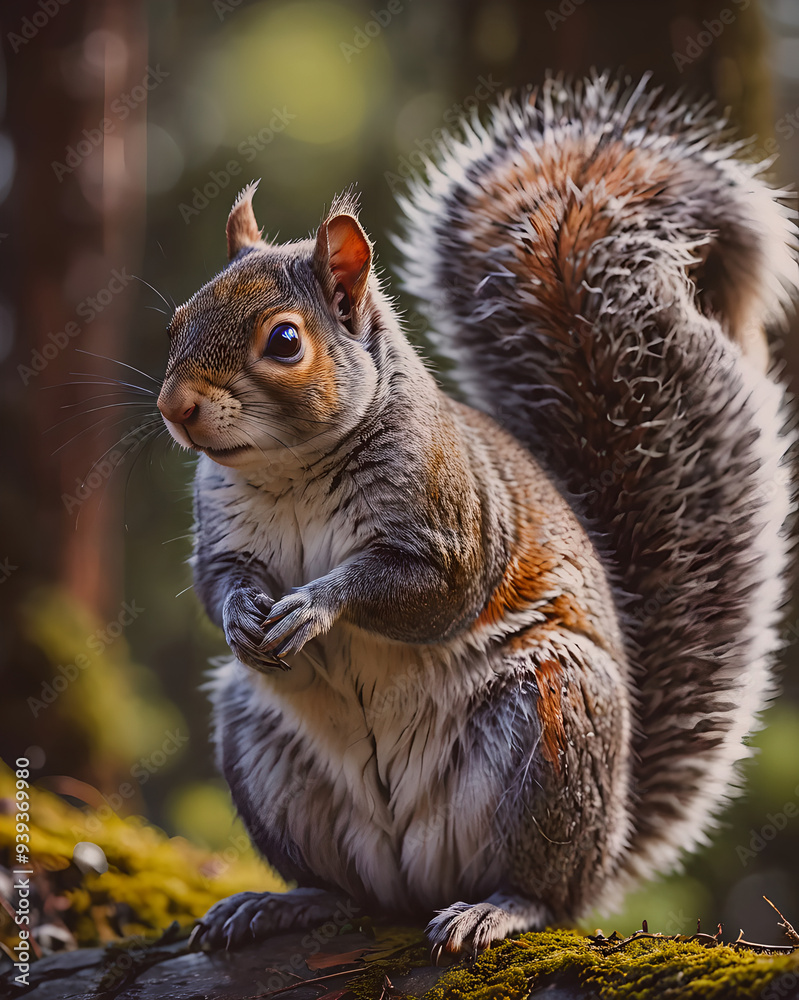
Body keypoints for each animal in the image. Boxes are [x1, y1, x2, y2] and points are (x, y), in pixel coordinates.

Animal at [156, 74, 797, 957]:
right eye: (177, 322)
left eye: (284, 341)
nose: (175, 408)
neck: (291, 474)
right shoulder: (220, 529)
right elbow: (217, 579)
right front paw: (244, 615)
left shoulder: (452, 524)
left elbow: (427, 593)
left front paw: (313, 607)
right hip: (261, 745)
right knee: (349, 892)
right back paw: (281, 904)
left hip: (553, 723)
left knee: (540, 888)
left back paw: (497, 908)